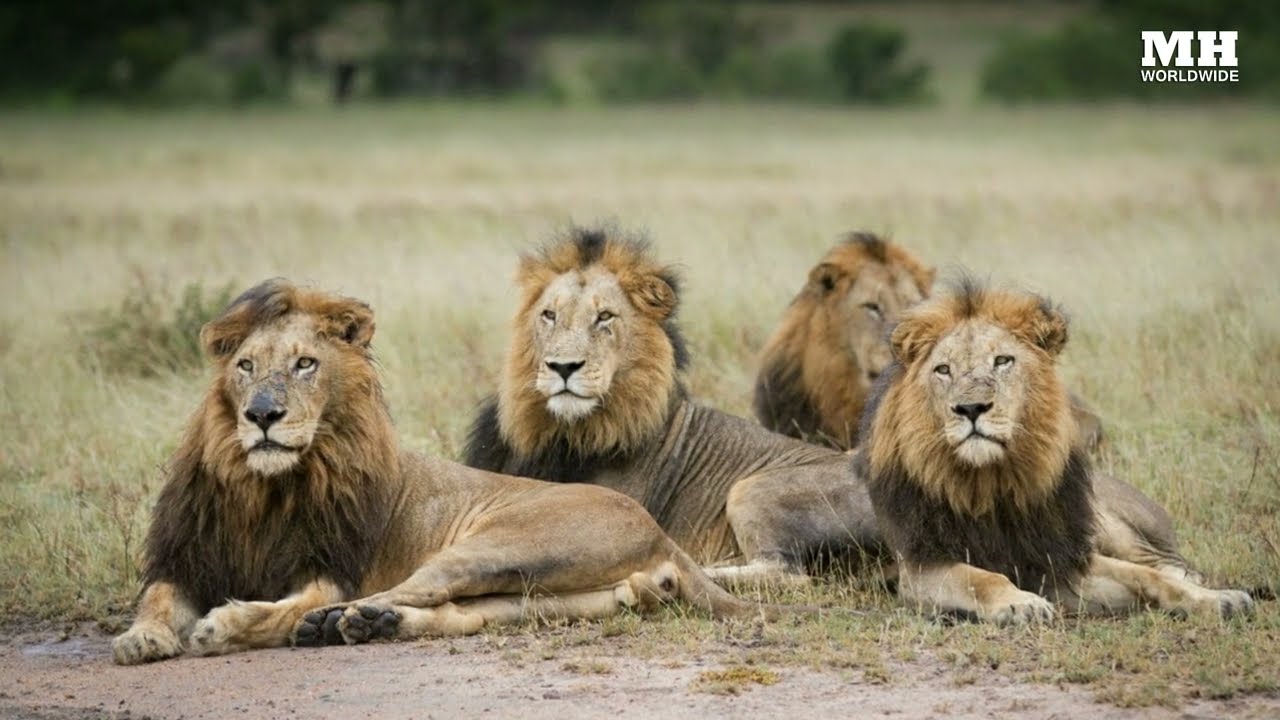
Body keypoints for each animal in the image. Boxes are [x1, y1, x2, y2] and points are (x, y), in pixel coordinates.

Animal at [111, 279, 787, 665]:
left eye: (305, 364)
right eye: (246, 366)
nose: (261, 416)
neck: (262, 487)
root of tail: (659, 531)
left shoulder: (331, 566)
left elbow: (291, 601)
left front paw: (224, 624)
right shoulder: (185, 558)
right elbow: (156, 600)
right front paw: (141, 639)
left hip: (501, 546)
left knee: (409, 588)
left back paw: (333, 623)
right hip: (553, 595)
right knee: (461, 613)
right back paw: (371, 626)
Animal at [463, 228, 883, 583]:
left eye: (604, 317)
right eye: (549, 315)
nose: (563, 367)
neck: (560, 433)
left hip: (753, 487)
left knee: (786, 573)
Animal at [855, 279, 1253, 623]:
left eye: (1002, 361)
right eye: (943, 370)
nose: (971, 408)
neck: (991, 482)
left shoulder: (1062, 558)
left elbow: (1145, 576)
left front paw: (1217, 599)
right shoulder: (921, 566)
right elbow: (982, 577)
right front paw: (1020, 604)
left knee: (1164, 564)